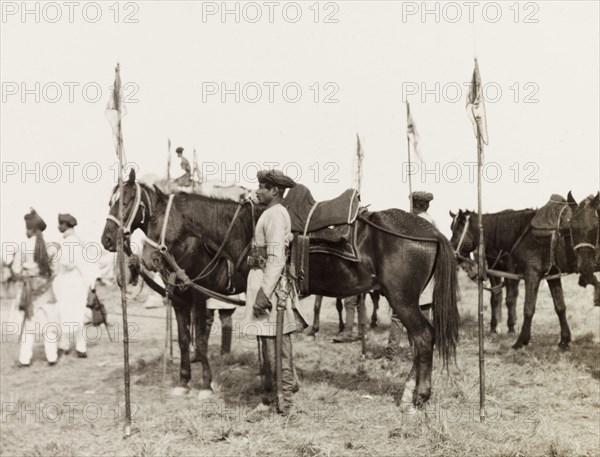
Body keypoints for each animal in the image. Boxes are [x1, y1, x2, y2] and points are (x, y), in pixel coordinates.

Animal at [101, 170, 251, 396]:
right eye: (111, 202)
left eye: (125, 202)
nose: (107, 240)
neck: (184, 243)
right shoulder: (179, 298)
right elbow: (183, 339)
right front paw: (183, 381)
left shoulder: (199, 295)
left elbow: (200, 340)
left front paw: (205, 384)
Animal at [138, 177, 460, 406]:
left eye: (153, 220)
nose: (146, 258)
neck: (245, 227)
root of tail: (431, 232)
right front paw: (281, 385)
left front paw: (271, 390)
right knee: (420, 339)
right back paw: (408, 391)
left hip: (402, 300)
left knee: (423, 337)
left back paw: (419, 397)